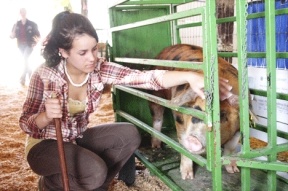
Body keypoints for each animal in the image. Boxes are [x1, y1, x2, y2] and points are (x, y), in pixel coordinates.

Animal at [148, 44, 254, 180]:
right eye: (195, 108)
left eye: (222, 114)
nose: (194, 139)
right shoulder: (179, 118)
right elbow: (183, 145)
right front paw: (187, 177)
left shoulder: (239, 128)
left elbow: (230, 148)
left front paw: (233, 171)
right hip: (155, 95)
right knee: (157, 118)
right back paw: (156, 146)